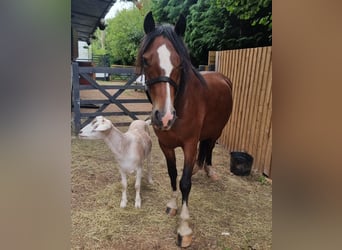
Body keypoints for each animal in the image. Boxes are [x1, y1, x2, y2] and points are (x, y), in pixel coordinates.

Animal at [138, 11, 234, 246]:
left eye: (180, 63)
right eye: (146, 60)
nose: (165, 117)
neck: (182, 103)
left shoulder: (189, 145)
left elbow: (185, 183)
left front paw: (184, 228)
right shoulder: (166, 145)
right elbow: (173, 174)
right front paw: (172, 206)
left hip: (218, 130)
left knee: (209, 147)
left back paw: (209, 169)